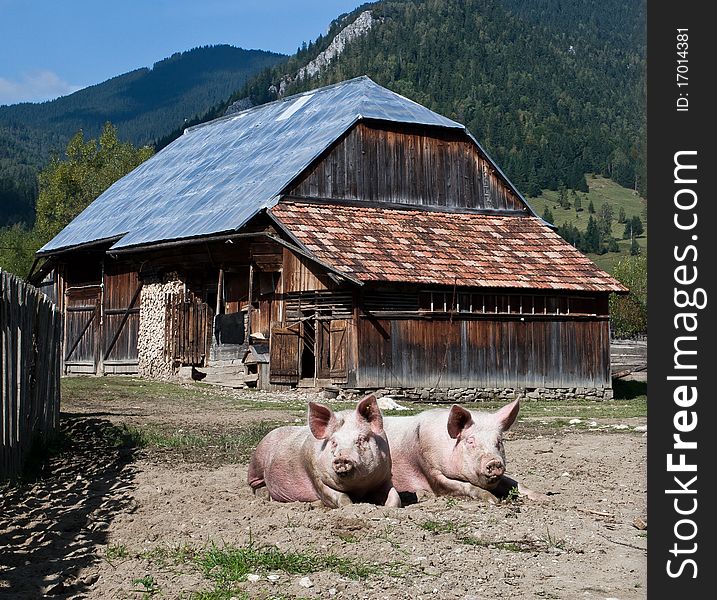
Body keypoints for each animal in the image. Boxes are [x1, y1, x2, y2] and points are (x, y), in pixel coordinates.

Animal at [248, 396, 402, 508]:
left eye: (361, 439)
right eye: (333, 442)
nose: (342, 457)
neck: (358, 489)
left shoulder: (385, 476)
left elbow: (396, 498)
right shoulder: (315, 477)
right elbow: (341, 498)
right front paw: (350, 506)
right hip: (257, 462)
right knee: (255, 485)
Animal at [386, 400, 544, 504]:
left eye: (499, 441)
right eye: (470, 441)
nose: (494, 461)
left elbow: (516, 483)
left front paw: (544, 497)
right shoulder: (431, 471)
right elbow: (463, 485)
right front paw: (493, 500)